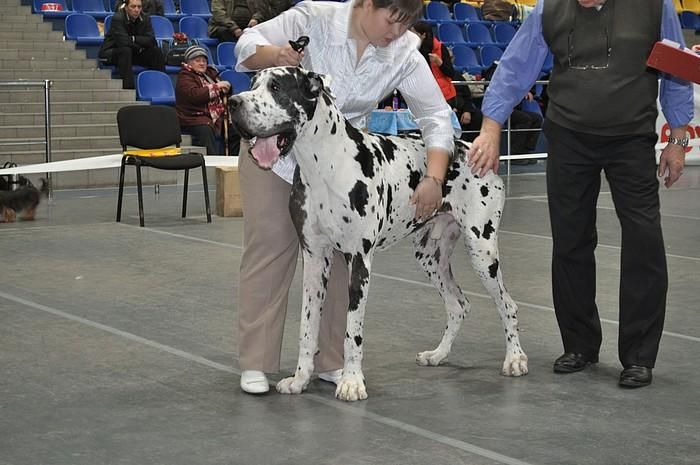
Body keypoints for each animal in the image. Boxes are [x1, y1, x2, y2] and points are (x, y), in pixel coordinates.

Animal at [229, 67, 528, 401]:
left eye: (277, 87)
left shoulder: (359, 259)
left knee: (507, 305)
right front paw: (299, 379)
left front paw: (351, 382)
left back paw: (515, 359)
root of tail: (472, 148)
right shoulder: (315, 258)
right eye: (252, 83)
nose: (233, 102)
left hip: (482, 250)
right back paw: (437, 355)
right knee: (458, 305)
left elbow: (352, 330)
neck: (324, 163)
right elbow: (308, 327)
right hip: (429, 256)